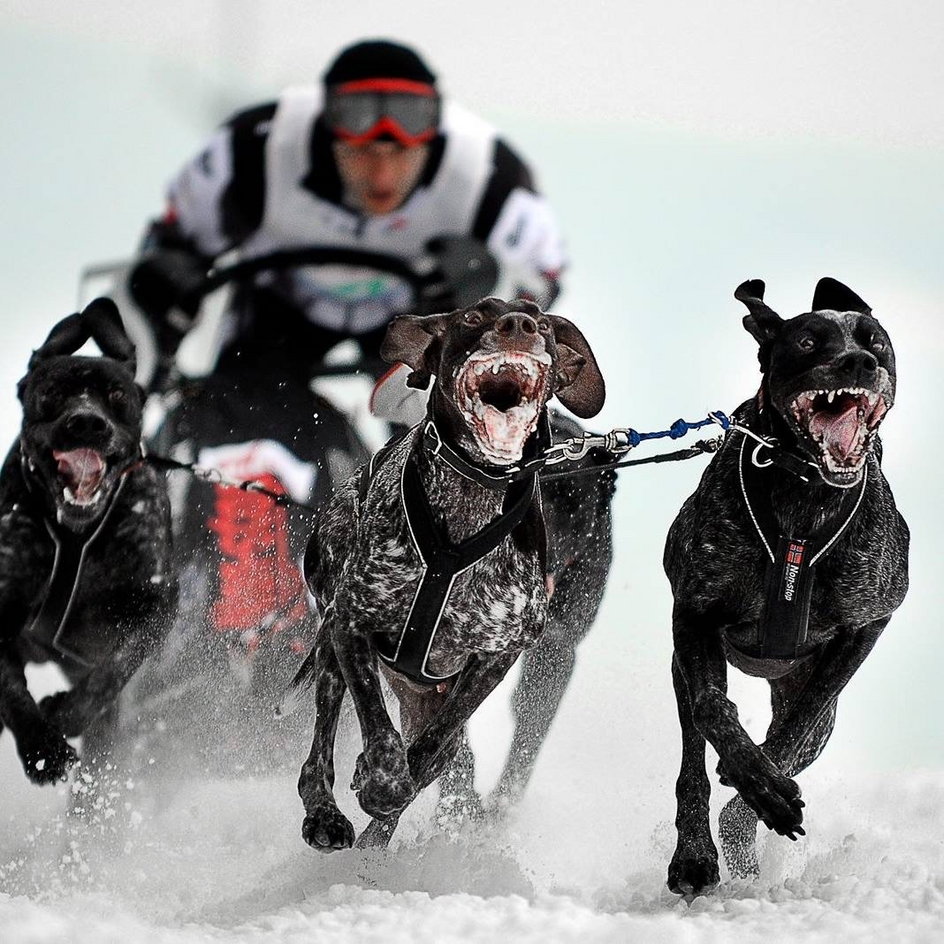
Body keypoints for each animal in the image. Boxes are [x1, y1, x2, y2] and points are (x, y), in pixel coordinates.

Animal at [0, 298, 177, 784]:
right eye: (53, 392)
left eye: (117, 397)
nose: (87, 423)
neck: (75, 538)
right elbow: (11, 688)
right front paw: (43, 748)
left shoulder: (156, 603)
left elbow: (115, 667)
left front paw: (67, 714)